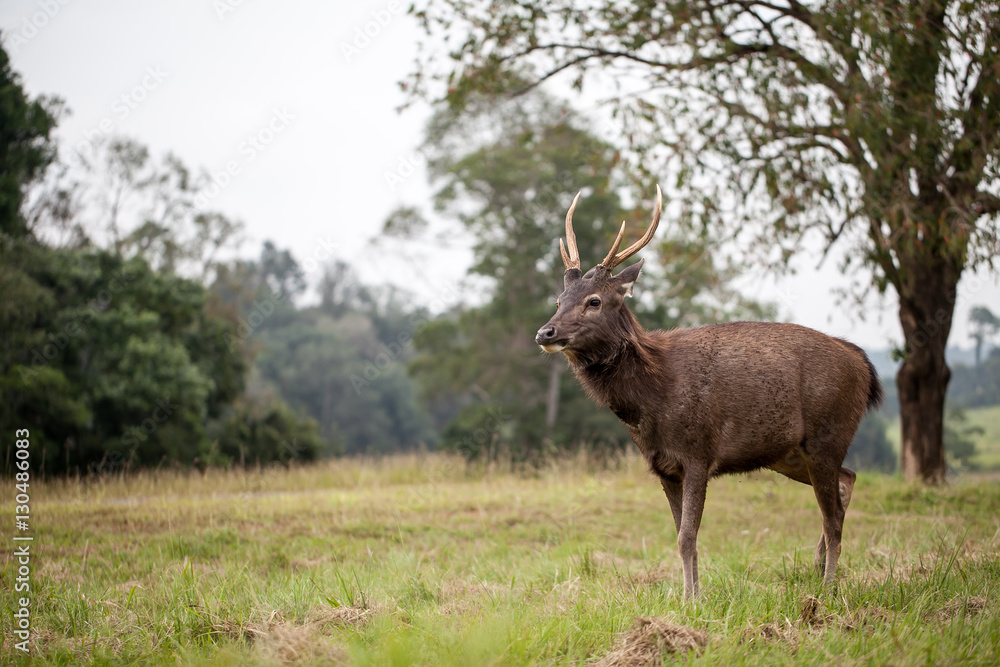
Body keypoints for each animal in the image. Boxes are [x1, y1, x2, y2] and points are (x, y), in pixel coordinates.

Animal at [535, 185, 883, 600]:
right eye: (558, 300)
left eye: (594, 301)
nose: (545, 332)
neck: (654, 399)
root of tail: (862, 364)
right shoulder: (663, 466)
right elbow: (682, 535)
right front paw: (692, 594)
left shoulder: (699, 452)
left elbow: (686, 536)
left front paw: (690, 600)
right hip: (790, 454)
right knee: (848, 481)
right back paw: (817, 569)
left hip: (827, 436)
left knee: (833, 519)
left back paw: (827, 588)